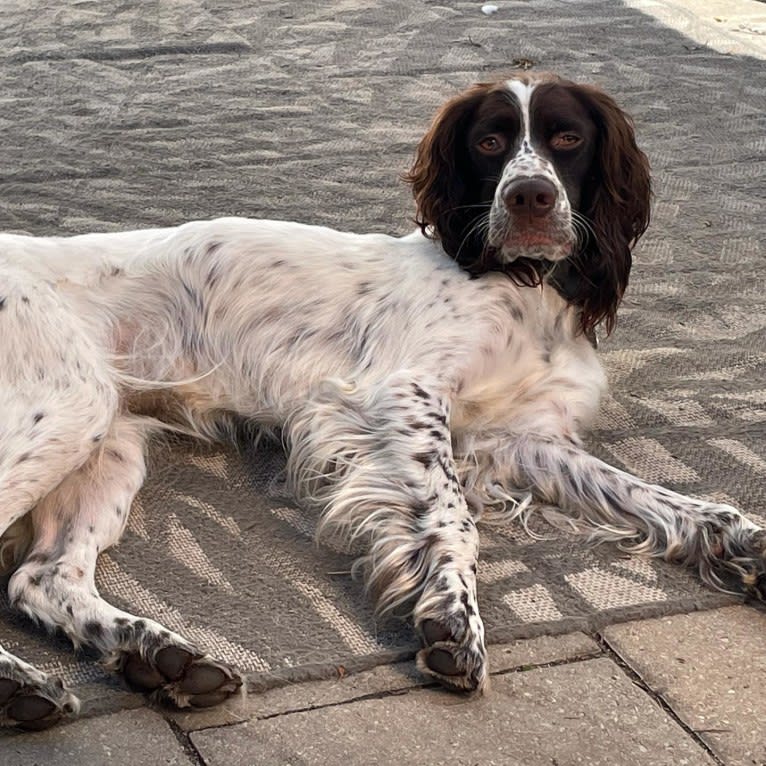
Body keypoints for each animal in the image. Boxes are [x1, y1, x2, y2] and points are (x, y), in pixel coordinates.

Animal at [1, 72, 766, 732]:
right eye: (490, 142)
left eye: (568, 137)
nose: (529, 197)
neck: (524, 292)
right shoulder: (403, 390)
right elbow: (453, 517)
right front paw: (453, 616)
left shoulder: (525, 439)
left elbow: (649, 494)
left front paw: (741, 539)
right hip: (70, 405)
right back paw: (24, 684)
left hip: (108, 441)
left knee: (40, 579)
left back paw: (153, 656)